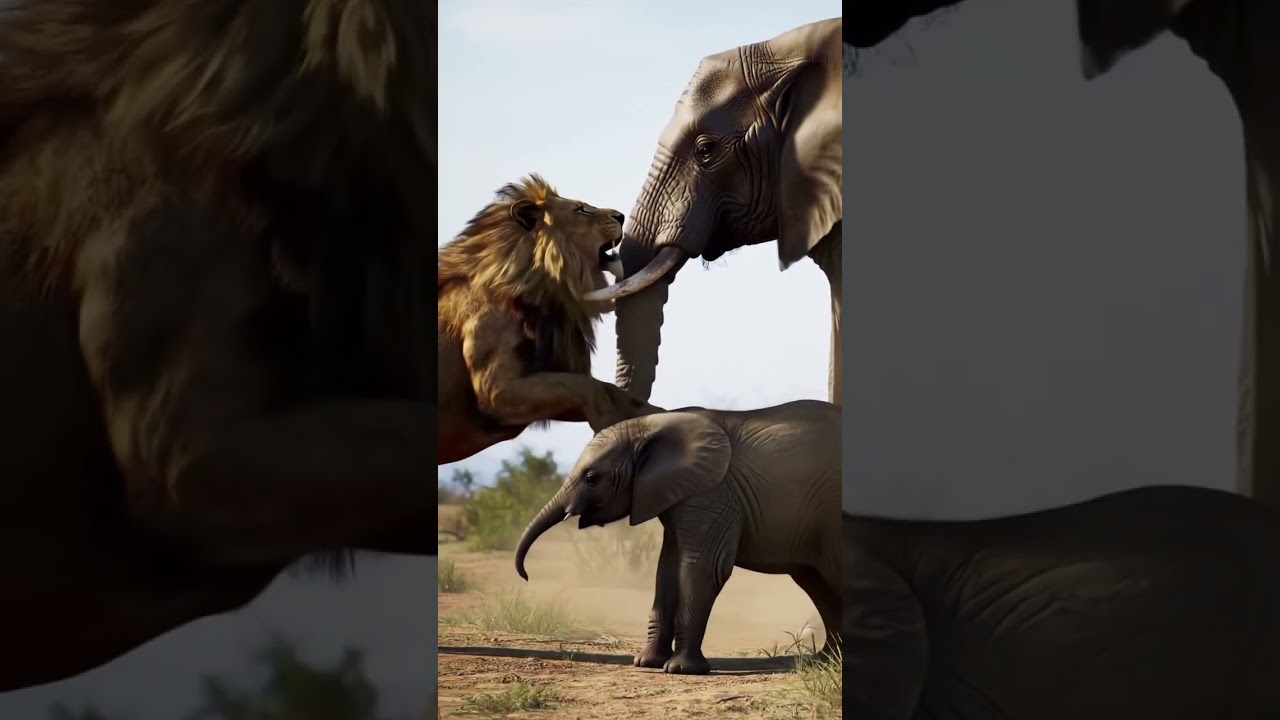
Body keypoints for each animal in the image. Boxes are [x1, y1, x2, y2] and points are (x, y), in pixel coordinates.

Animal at [438, 175, 662, 465]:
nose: (621, 217)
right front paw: (609, 424)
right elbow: (589, 387)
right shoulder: (497, 392)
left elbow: (609, 390)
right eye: (581, 209)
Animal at [513, 400, 841, 675]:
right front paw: (646, 663)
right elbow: (667, 567)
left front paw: (680, 669)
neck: (650, 425)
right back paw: (826, 661)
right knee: (818, 584)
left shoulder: (712, 494)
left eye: (592, 479)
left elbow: (703, 566)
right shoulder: (676, 494)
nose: (526, 576)